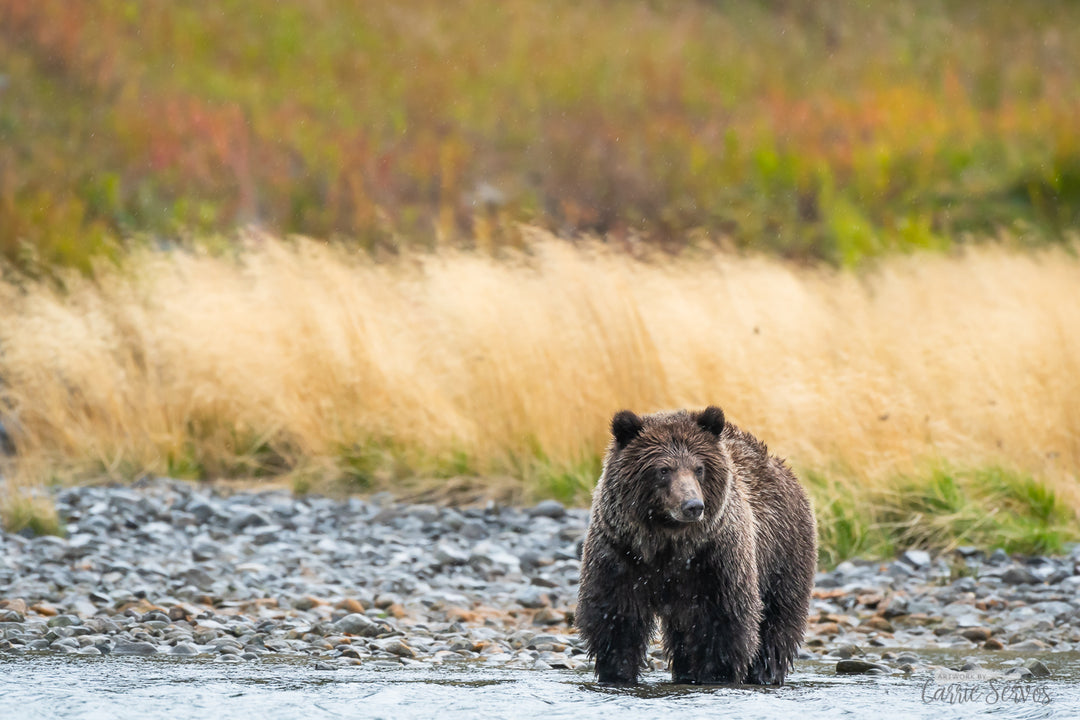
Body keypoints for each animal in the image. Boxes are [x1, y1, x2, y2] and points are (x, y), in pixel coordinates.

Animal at [578, 405, 812, 686]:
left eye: (699, 468)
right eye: (663, 469)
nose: (693, 506)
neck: (668, 543)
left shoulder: (714, 558)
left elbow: (722, 620)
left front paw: (717, 674)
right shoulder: (621, 553)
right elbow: (617, 617)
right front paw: (616, 673)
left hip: (782, 553)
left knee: (778, 618)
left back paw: (765, 672)